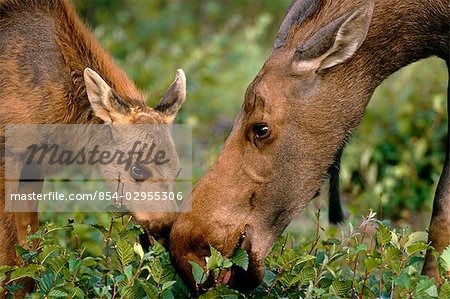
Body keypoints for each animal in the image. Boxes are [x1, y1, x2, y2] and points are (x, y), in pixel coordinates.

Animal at [0, 0, 185, 290]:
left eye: (177, 171)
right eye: (137, 169)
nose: (166, 231)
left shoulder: (33, 166)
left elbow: (30, 253)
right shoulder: (7, 150)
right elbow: (10, 255)